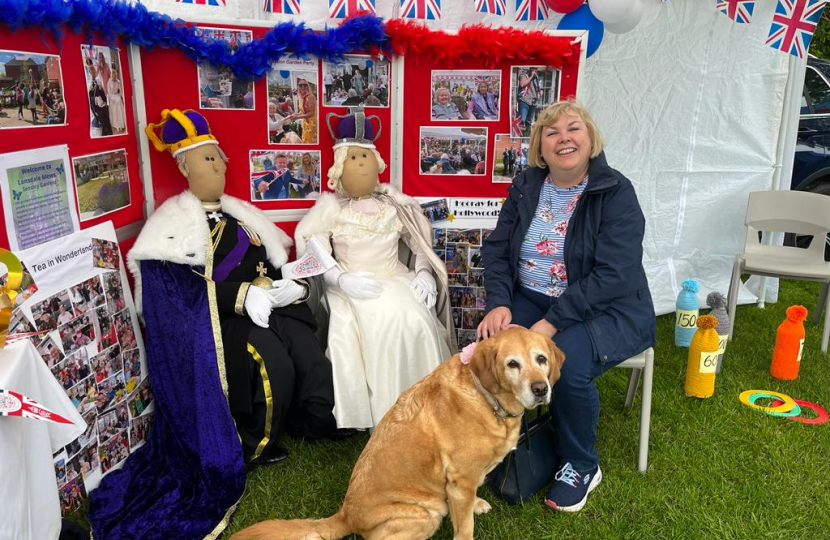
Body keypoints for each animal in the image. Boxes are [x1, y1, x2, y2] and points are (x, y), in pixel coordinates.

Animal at [232, 326, 564, 540]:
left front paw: (477, 504)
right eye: (512, 364)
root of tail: (345, 514)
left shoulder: (465, 481)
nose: (540, 389)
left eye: (541, 359)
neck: (487, 398)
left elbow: (470, 502)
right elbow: (464, 527)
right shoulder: (460, 481)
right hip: (425, 514)